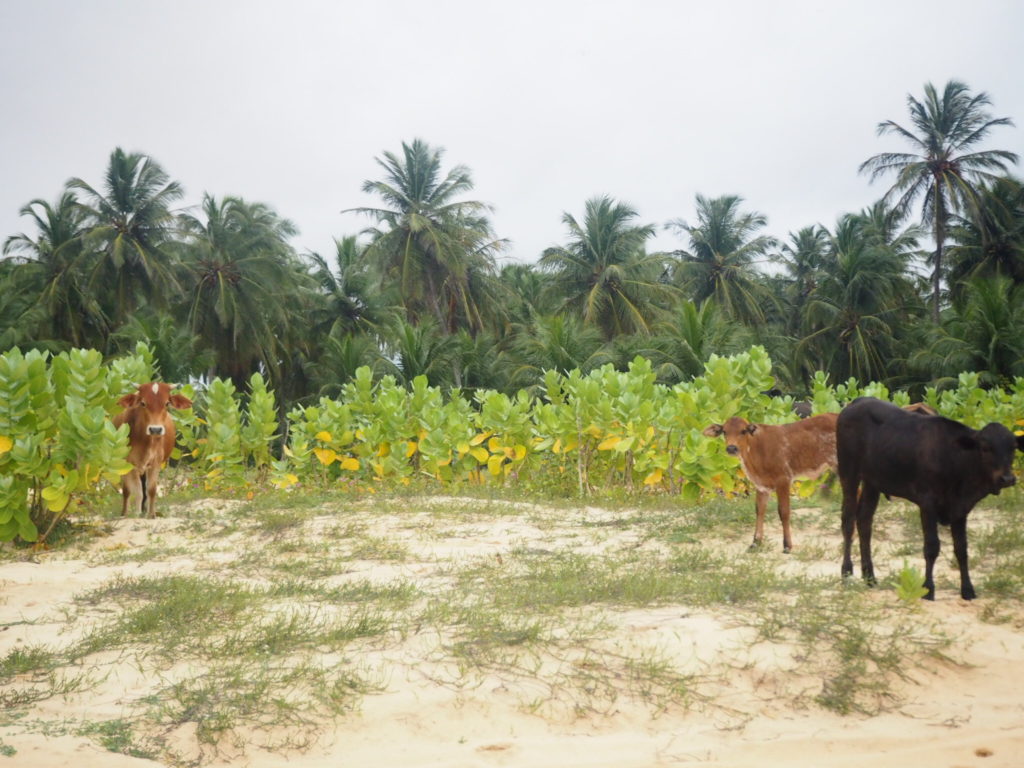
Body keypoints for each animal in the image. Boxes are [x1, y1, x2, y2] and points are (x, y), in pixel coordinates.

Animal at [112, 382, 192, 518]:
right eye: (143, 403)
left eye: (167, 403)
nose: (155, 429)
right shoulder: (131, 465)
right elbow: (137, 491)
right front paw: (137, 513)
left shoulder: (155, 463)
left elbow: (151, 490)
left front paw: (151, 514)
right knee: (127, 491)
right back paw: (125, 513)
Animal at [704, 415, 839, 552]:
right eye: (724, 432)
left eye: (743, 431)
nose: (731, 448)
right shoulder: (761, 485)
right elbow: (760, 510)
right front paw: (756, 542)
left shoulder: (783, 480)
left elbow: (784, 511)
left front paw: (787, 545)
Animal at [835, 399, 1019, 606]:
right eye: (985, 448)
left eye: (1013, 448)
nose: (1007, 478)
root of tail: (858, 402)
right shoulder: (927, 504)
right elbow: (931, 547)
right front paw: (928, 589)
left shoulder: (960, 509)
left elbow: (961, 549)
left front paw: (967, 589)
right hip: (848, 473)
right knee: (848, 521)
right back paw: (846, 572)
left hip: (872, 482)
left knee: (865, 521)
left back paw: (870, 577)